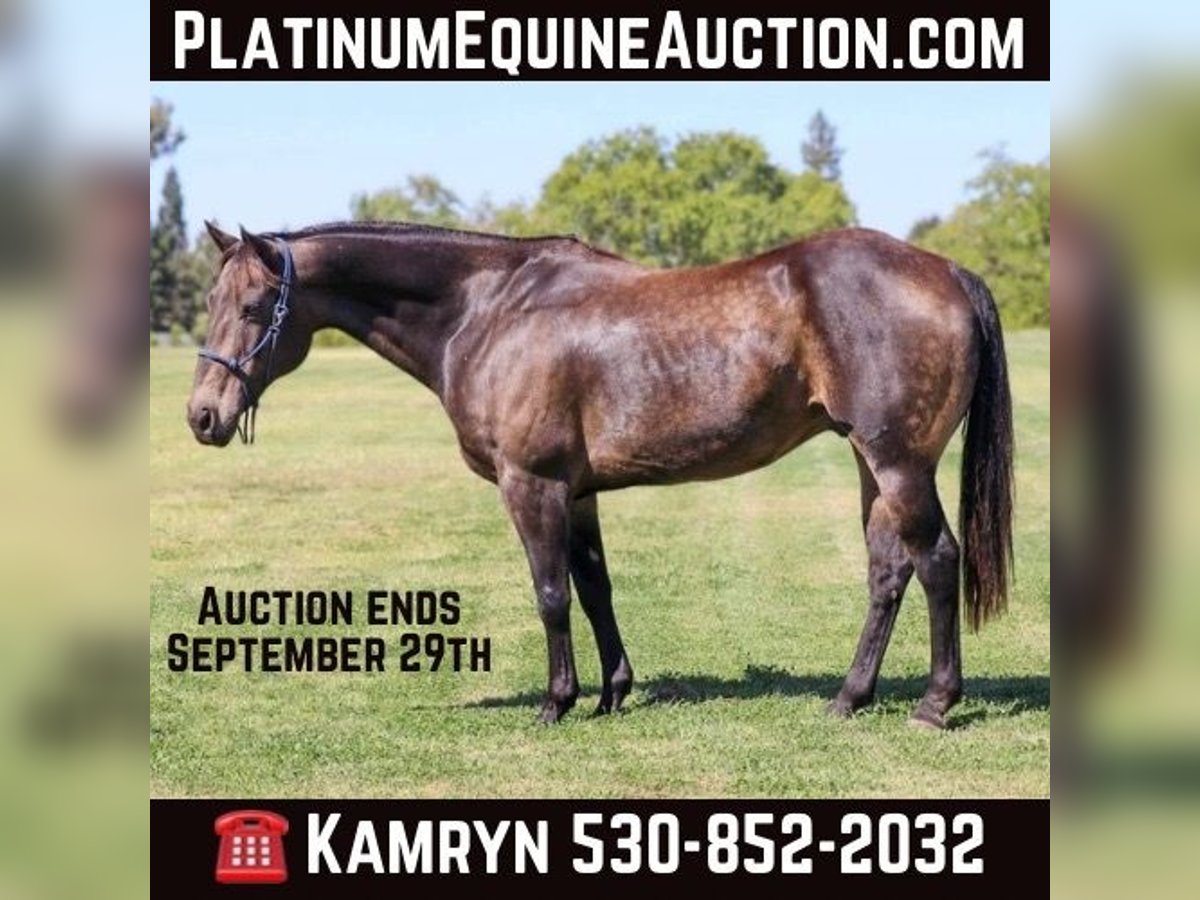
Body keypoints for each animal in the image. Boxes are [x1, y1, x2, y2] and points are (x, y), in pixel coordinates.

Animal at [187, 220, 1013, 729]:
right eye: (211, 299)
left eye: (257, 306)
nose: (202, 415)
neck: (488, 310)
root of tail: (947, 271)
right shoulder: (577, 493)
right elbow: (594, 590)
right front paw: (613, 694)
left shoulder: (532, 484)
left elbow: (551, 595)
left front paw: (557, 702)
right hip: (872, 464)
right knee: (887, 573)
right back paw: (848, 698)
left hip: (899, 463)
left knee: (937, 561)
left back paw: (935, 704)